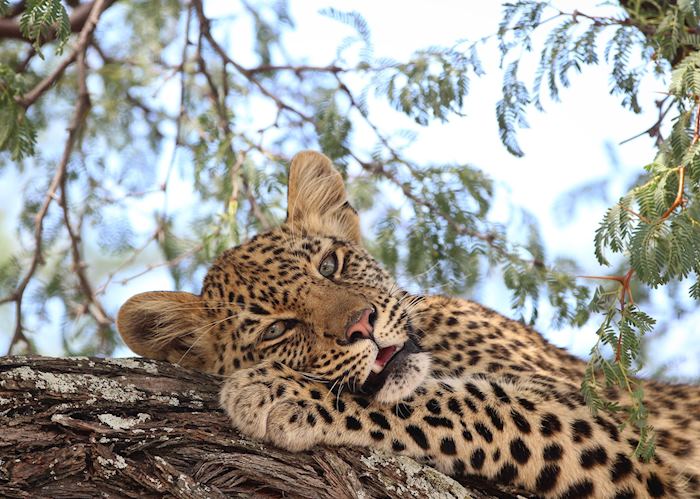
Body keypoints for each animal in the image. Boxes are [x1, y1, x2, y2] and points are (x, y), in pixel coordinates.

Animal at [118, 150, 700, 498]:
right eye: (276, 330)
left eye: (329, 264)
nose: (362, 324)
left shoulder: (612, 431)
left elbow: (461, 404)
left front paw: (277, 393)